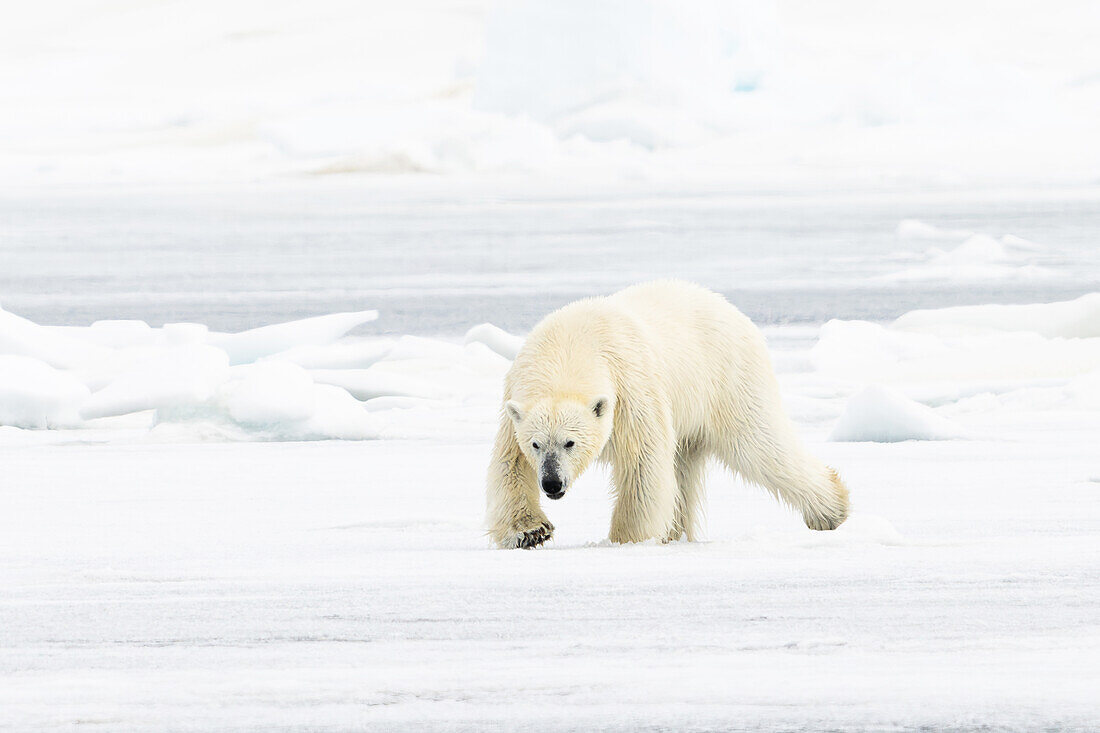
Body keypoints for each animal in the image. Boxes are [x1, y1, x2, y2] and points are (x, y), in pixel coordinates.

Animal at [484, 279, 849, 548]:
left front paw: (625, 539)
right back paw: (675, 533)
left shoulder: (631, 389)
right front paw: (530, 531)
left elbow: (643, 464)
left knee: (760, 445)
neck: (570, 345)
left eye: (570, 442)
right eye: (536, 444)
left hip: (728, 381)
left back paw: (832, 510)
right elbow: (510, 464)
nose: (552, 483)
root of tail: (730, 308)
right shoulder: (515, 395)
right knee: (683, 470)